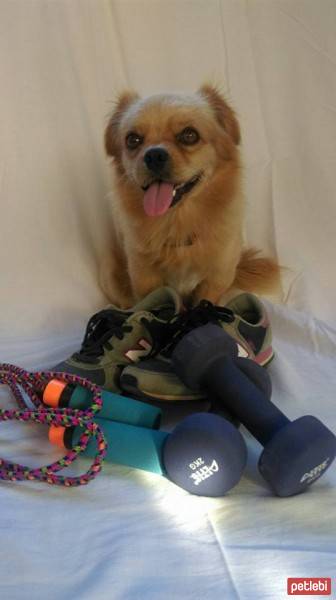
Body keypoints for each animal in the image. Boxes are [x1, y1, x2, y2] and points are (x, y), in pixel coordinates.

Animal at [101, 84, 280, 308]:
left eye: (189, 135)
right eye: (132, 140)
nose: (154, 155)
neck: (178, 223)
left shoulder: (216, 277)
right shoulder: (144, 277)